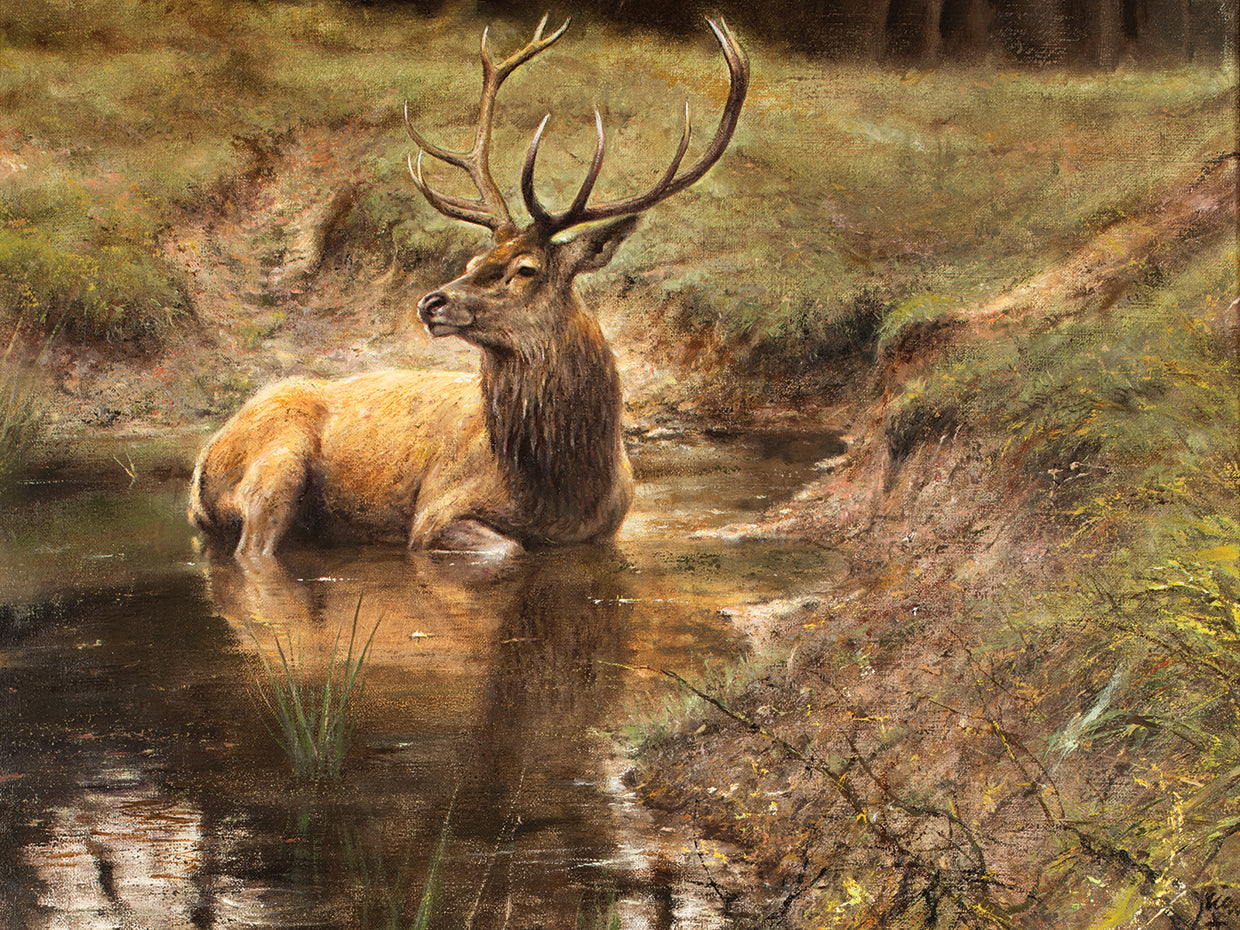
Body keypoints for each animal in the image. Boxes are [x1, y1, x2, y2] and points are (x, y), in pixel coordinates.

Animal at [188, 16, 749, 560]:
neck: (564, 489)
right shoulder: (435, 512)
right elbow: (509, 549)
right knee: (253, 549)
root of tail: (201, 464)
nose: (431, 302)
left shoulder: (607, 531)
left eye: (526, 268)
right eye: (474, 259)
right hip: (277, 463)